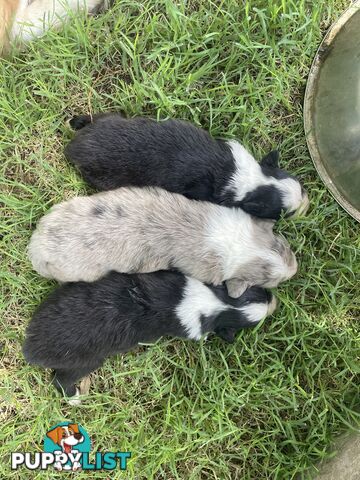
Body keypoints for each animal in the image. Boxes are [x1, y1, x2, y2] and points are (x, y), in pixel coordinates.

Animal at [22, 270, 278, 402]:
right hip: (86, 361)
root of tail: (31, 348)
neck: (217, 305)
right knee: (59, 379)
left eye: (257, 291)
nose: (273, 301)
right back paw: (74, 396)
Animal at [64, 112, 310, 219]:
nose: (307, 205)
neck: (247, 180)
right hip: (102, 176)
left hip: (111, 119)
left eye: (302, 187)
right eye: (286, 213)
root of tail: (75, 147)